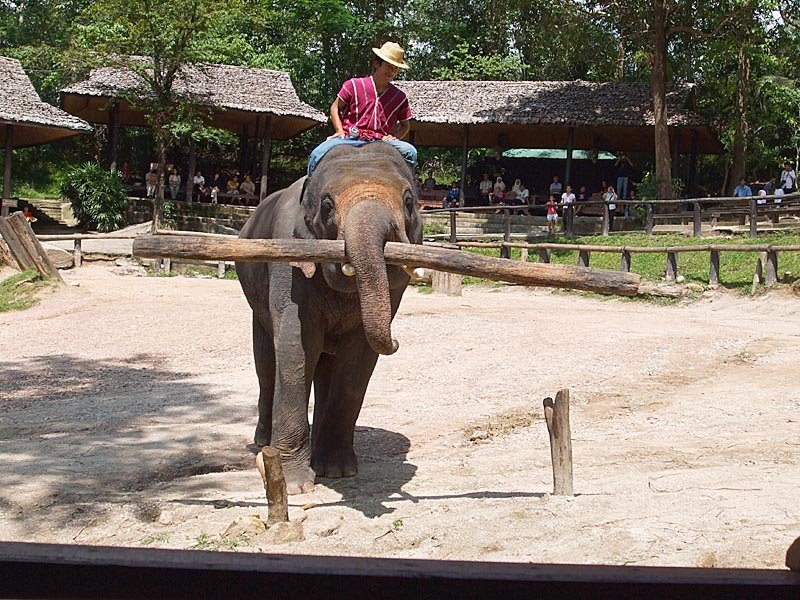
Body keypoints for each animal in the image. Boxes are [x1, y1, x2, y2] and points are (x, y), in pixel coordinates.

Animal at [236, 143, 422, 494]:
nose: (396, 340)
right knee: (266, 364)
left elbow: (358, 360)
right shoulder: (289, 257)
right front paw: (296, 484)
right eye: (327, 205)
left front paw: (338, 472)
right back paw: (262, 444)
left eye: (408, 201)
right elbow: (296, 345)